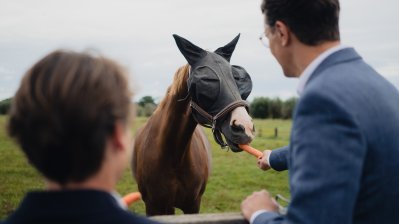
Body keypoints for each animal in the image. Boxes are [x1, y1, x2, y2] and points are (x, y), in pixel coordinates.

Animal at [133, 34, 255, 215]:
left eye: (237, 78)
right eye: (206, 80)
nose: (244, 127)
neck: (174, 158)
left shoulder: (193, 205)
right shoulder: (154, 206)